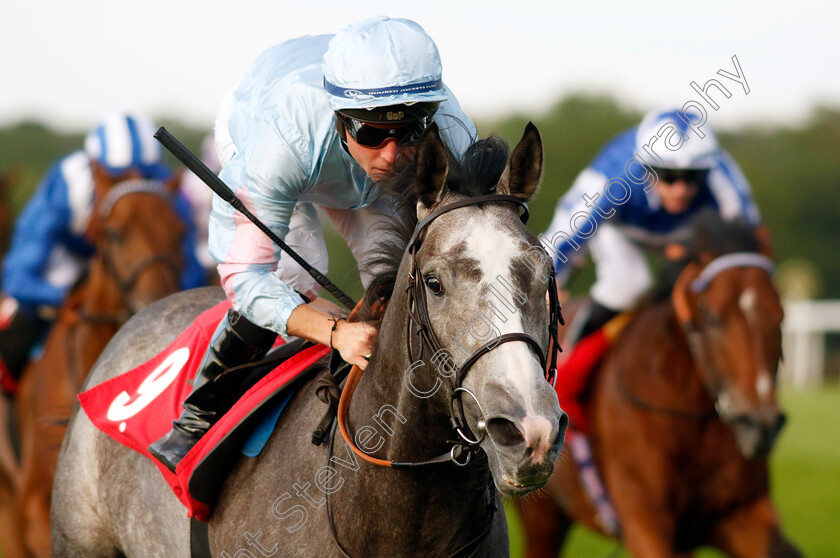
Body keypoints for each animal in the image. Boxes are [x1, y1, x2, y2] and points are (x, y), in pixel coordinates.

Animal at [512, 215, 800, 558]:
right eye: (712, 316)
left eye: (780, 315)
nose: (760, 425)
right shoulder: (644, 519)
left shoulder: (744, 513)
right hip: (541, 513)